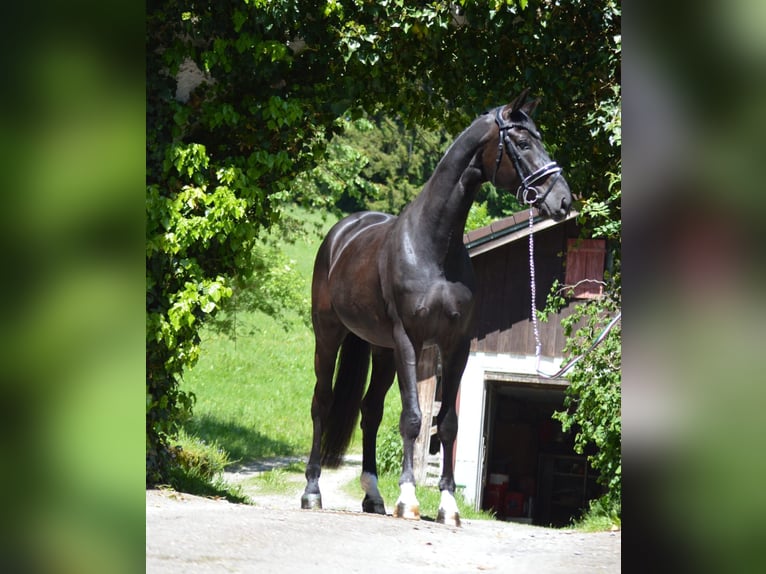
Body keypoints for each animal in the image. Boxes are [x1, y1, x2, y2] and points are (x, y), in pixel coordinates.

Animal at [300, 90, 568, 528]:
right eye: (522, 142)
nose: (563, 199)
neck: (433, 246)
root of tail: (343, 232)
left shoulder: (456, 345)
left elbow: (448, 425)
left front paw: (447, 505)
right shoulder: (410, 340)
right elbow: (413, 419)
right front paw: (409, 499)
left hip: (381, 350)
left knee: (370, 411)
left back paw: (373, 496)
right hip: (330, 335)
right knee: (322, 403)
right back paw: (312, 491)